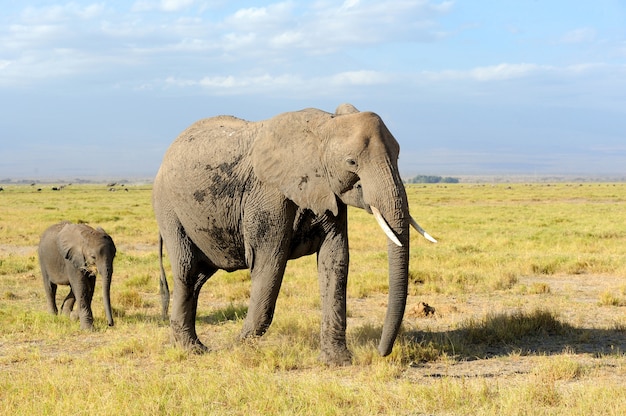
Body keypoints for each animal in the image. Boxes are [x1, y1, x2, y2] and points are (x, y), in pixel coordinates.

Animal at [152, 104, 434, 364]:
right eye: (351, 162)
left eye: (397, 157)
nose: (380, 352)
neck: (323, 126)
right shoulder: (267, 195)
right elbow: (269, 263)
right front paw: (237, 347)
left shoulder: (327, 190)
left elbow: (335, 260)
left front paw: (337, 362)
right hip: (168, 209)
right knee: (187, 271)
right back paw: (193, 350)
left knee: (199, 277)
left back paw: (183, 344)